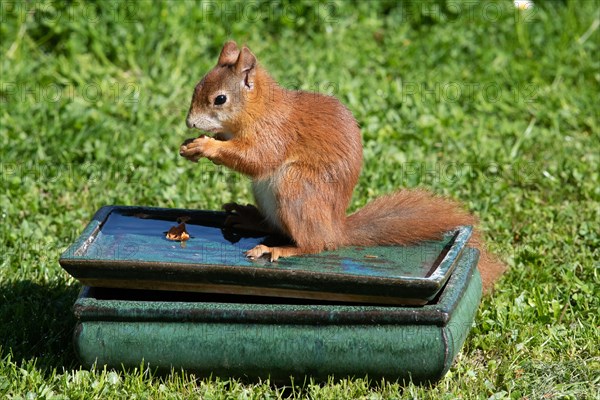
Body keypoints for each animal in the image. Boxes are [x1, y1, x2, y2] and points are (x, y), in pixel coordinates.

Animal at [179, 40, 506, 290]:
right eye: (196, 88)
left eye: (220, 99)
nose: (190, 122)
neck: (259, 109)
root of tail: (335, 229)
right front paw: (195, 143)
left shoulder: (274, 134)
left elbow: (256, 158)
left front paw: (206, 146)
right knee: (275, 225)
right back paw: (248, 219)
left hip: (294, 186)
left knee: (315, 245)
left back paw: (277, 248)